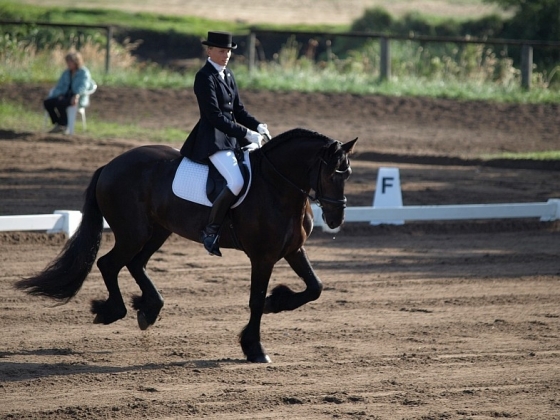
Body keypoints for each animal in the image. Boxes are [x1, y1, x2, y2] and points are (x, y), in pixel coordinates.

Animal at [17, 128, 358, 364]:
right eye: (331, 173)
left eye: (348, 174)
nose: (336, 218)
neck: (278, 186)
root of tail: (110, 165)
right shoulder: (262, 257)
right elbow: (255, 301)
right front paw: (255, 348)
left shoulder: (291, 250)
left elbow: (315, 287)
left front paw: (277, 302)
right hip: (134, 233)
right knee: (109, 264)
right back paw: (113, 310)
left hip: (158, 231)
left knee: (134, 263)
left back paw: (148, 308)